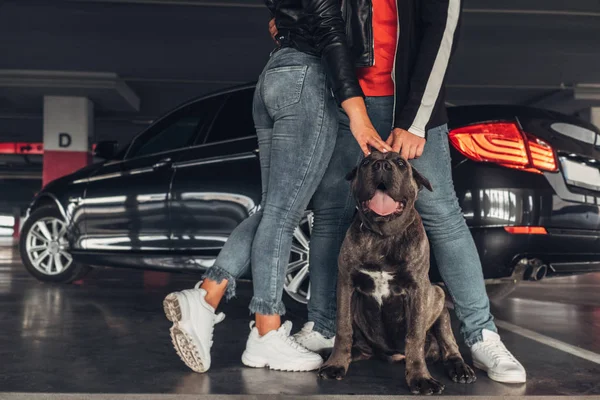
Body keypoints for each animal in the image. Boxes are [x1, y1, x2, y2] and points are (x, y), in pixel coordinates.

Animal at [316, 151, 476, 394]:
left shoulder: (418, 290)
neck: (384, 236)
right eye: (365, 162)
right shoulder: (346, 284)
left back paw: (459, 367)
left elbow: (414, 337)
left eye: (401, 163)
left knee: (449, 344)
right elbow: (343, 329)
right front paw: (336, 364)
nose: (381, 164)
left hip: (439, 298)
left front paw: (420, 378)